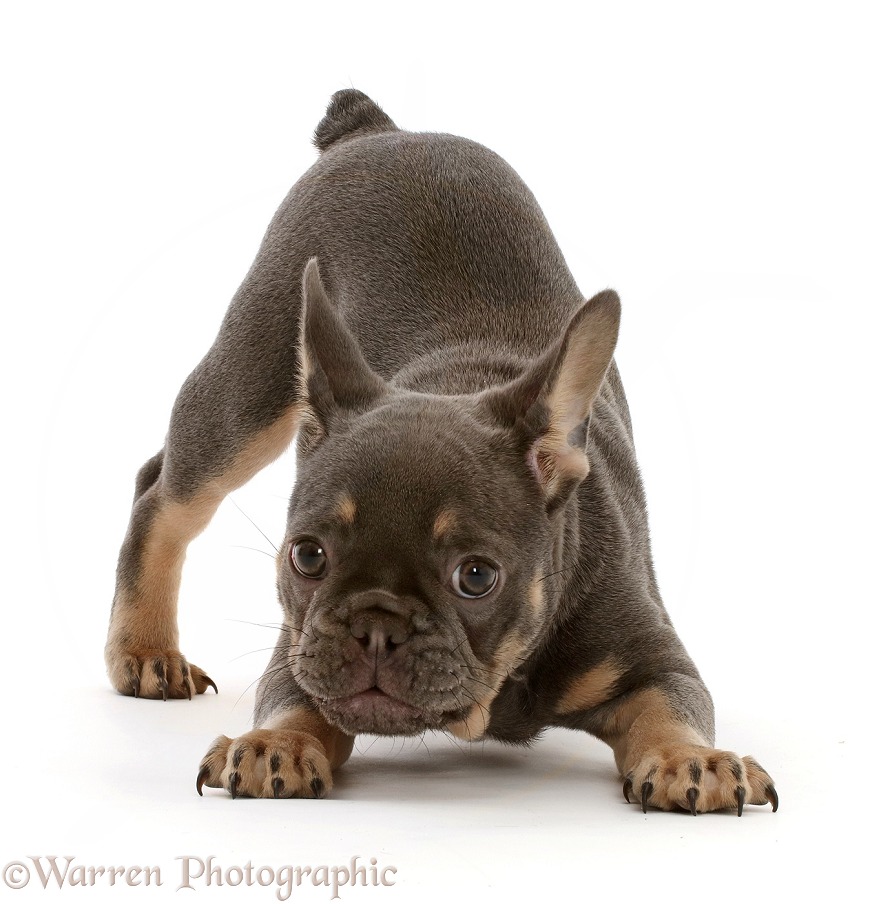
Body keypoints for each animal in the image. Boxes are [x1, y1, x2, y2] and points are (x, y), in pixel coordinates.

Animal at [105, 88, 780, 816]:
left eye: (476, 576)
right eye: (306, 557)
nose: (376, 624)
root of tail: (380, 129)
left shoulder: (653, 660)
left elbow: (673, 707)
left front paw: (693, 759)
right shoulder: (299, 645)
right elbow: (293, 697)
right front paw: (275, 743)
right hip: (249, 383)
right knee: (165, 491)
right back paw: (146, 651)